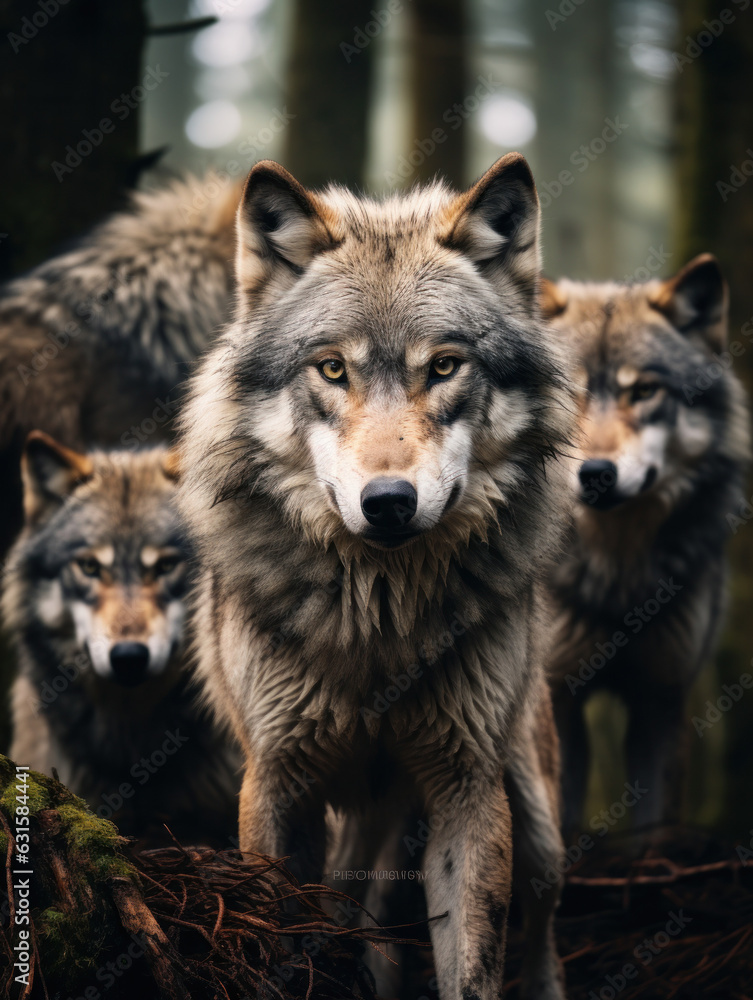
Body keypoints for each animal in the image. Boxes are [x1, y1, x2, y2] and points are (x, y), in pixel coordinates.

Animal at [178, 155, 575, 999]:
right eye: (332, 368)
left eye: (445, 366)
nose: (388, 502)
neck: (379, 628)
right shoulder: (275, 782)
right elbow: (278, 940)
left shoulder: (467, 788)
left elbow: (473, 964)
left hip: (532, 815)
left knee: (538, 916)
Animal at [541, 255, 750, 834]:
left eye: (643, 392)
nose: (596, 474)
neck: (618, 577)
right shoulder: (557, 698)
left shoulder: (663, 697)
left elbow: (657, 821)